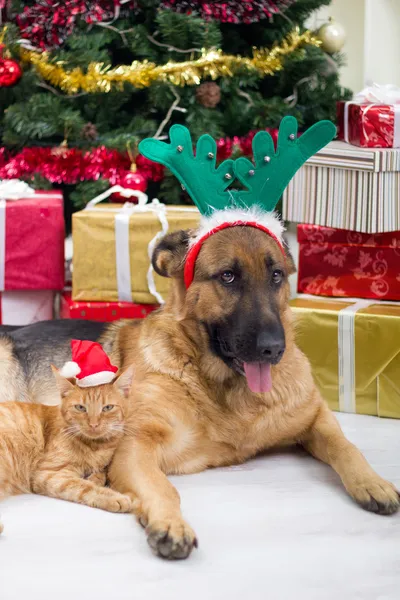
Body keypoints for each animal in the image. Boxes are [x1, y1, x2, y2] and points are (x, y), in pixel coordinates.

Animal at [0, 364, 134, 532]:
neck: (95, 446)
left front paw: (95, 477)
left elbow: (100, 474)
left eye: (107, 408)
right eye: (81, 408)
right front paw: (113, 496)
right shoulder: (50, 473)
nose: (94, 424)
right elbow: (84, 486)